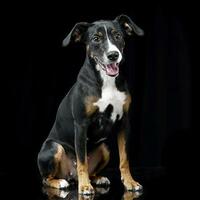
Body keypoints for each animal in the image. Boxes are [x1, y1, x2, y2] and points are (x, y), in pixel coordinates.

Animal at [37, 14, 144, 195]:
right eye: (96, 39)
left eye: (118, 36)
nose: (113, 55)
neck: (107, 81)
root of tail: (70, 176)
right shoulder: (81, 124)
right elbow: (82, 162)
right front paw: (85, 186)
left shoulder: (124, 122)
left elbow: (124, 158)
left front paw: (130, 182)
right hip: (53, 148)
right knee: (46, 178)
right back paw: (61, 182)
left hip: (104, 148)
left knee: (92, 170)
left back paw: (98, 179)